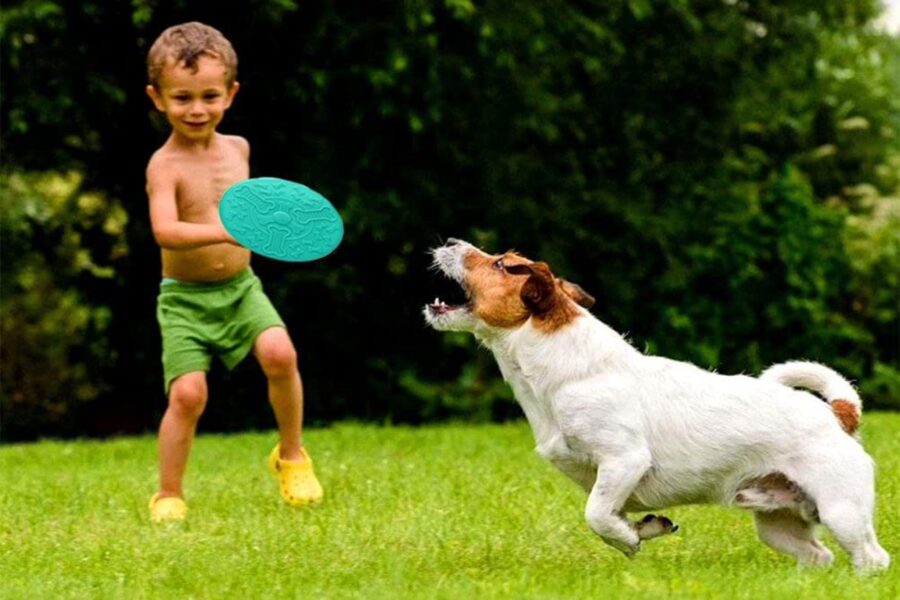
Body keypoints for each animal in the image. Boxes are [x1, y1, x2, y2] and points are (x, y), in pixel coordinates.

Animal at [426, 239, 888, 572]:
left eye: (502, 265)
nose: (449, 240)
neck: (566, 369)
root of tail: (839, 414)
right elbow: (611, 515)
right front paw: (646, 528)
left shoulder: (624, 460)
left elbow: (596, 514)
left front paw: (630, 538)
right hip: (778, 523)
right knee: (819, 556)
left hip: (841, 510)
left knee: (873, 558)